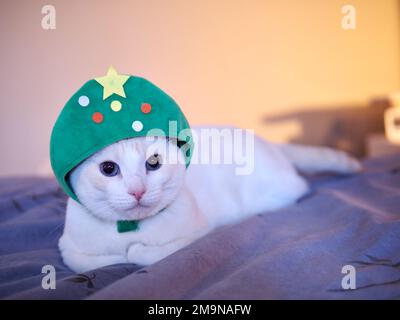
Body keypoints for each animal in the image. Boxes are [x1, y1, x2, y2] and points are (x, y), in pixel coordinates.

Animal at [57, 126, 360, 272]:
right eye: (108, 169)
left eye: (154, 163)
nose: (137, 190)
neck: (130, 230)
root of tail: (268, 142)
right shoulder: (68, 249)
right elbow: (96, 261)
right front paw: (119, 254)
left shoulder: (196, 236)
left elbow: (142, 254)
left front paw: (133, 251)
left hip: (273, 193)